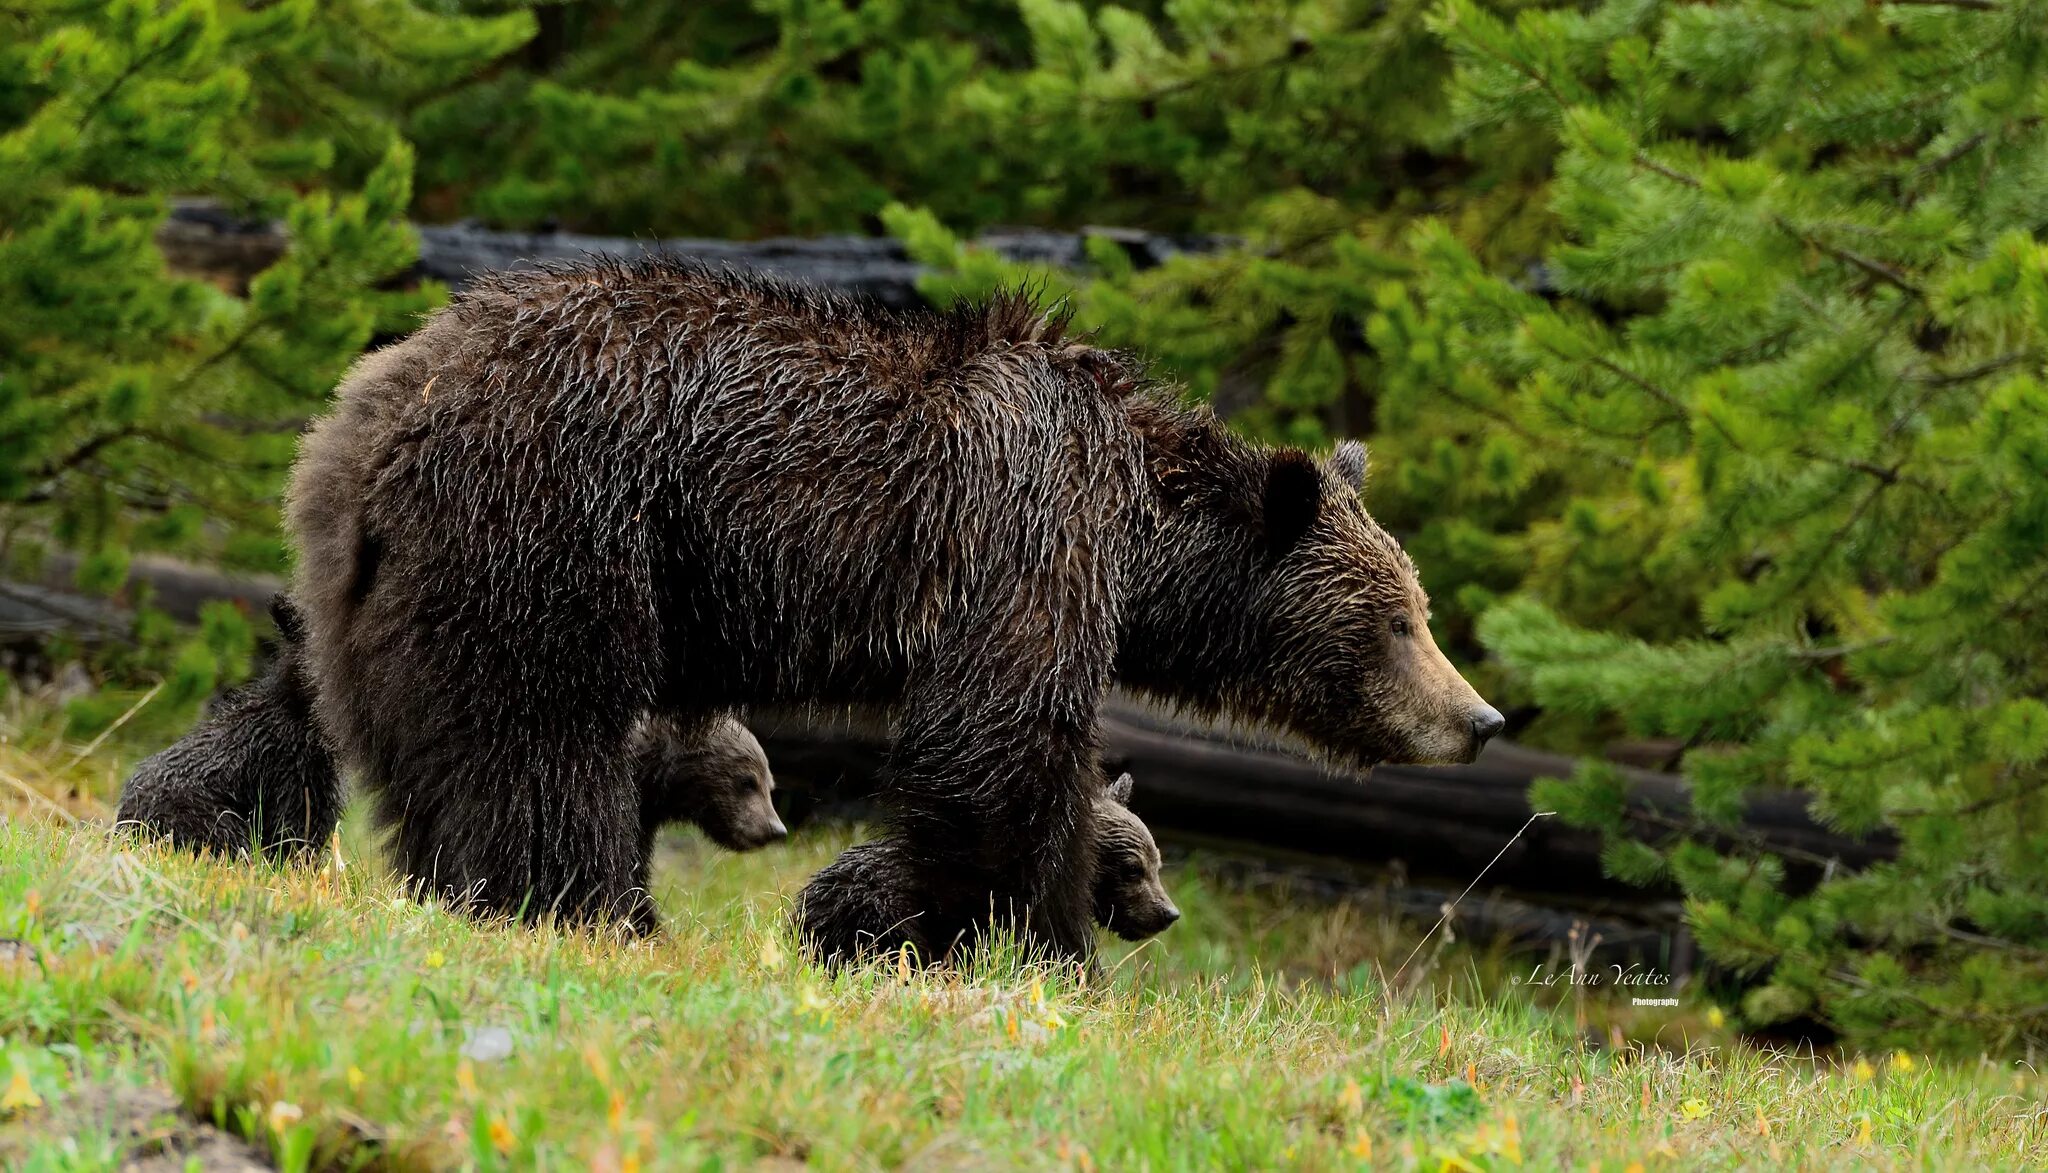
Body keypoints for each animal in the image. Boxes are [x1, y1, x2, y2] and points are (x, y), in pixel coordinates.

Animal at [288, 261, 1499, 953]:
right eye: (1398, 620)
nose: (1479, 718)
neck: (1136, 535)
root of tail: (380, 405)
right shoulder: (1023, 539)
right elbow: (999, 751)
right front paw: (1006, 935)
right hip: (555, 523)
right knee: (538, 729)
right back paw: (584, 906)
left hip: (387, 587)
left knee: (418, 733)